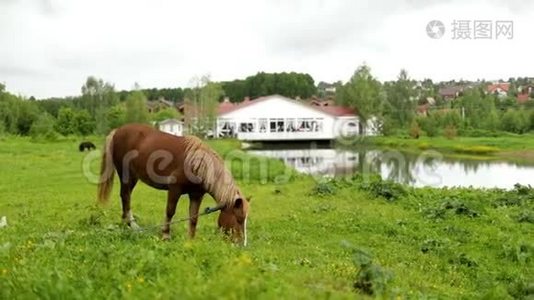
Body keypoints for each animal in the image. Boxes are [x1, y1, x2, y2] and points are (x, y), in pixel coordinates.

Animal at [97, 123, 251, 245]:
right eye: (238, 219)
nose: (241, 244)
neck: (196, 164)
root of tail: (117, 130)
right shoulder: (174, 190)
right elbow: (170, 212)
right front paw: (166, 235)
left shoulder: (196, 195)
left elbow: (193, 218)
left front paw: (191, 240)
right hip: (126, 175)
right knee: (125, 196)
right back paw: (131, 225)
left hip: (134, 177)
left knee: (125, 196)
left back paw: (126, 224)